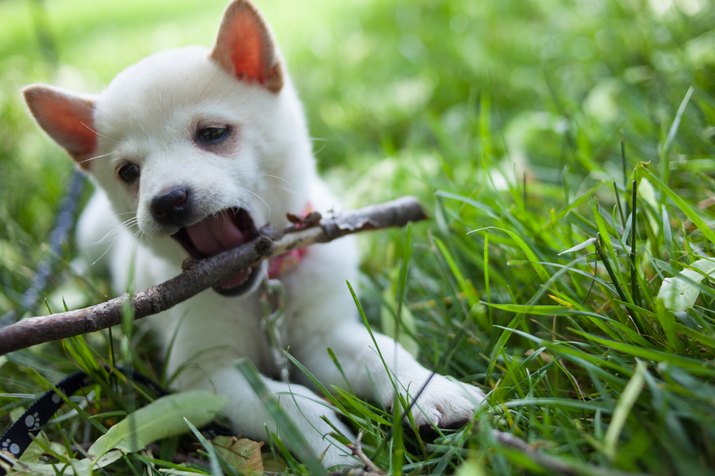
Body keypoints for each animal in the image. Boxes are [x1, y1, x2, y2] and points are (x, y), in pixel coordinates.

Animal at [21, 0, 486, 468]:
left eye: (212, 134)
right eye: (128, 172)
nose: (167, 201)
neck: (263, 291)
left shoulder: (324, 337)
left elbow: (380, 350)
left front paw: (432, 390)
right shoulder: (203, 374)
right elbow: (289, 400)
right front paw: (333, 448)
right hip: (89, 233)